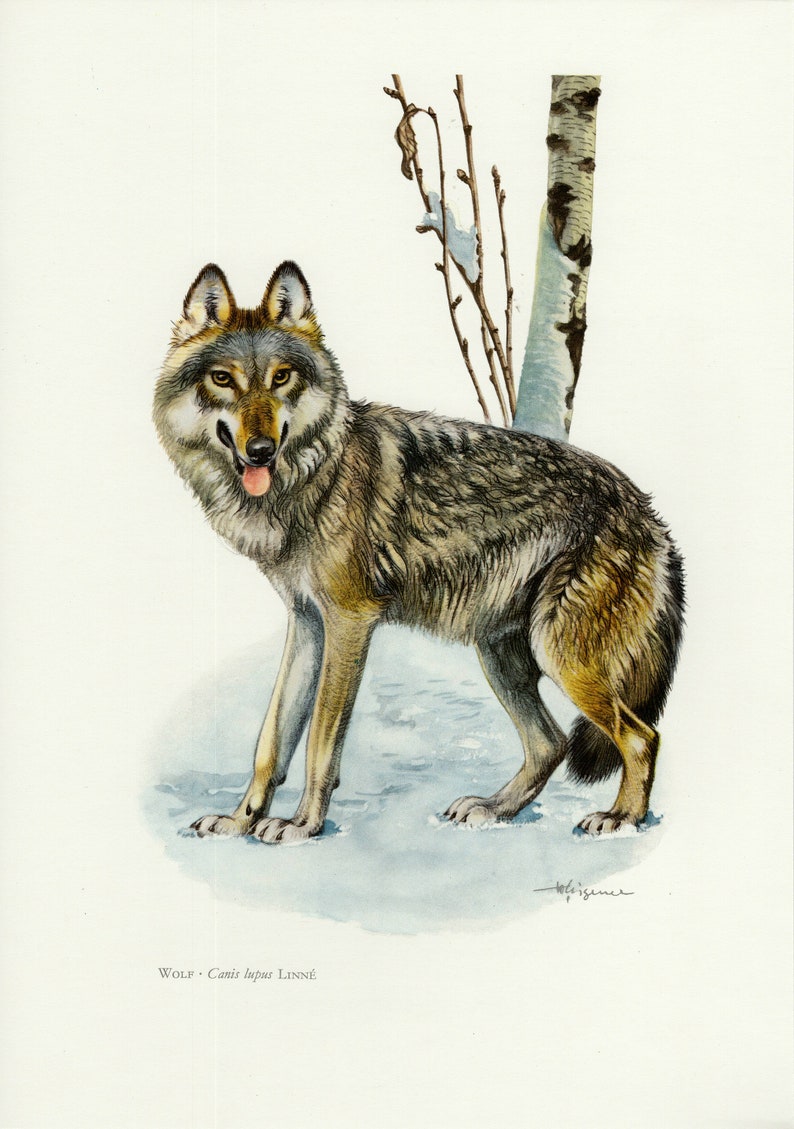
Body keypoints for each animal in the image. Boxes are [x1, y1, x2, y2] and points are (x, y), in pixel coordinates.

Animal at [153, 260, 685, 843]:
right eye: (223, 379)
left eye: (281, 378)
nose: (261, 451)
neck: (315, 475)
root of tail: (648, 513)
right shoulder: (307, 622)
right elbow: (272, 742)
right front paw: (239, 821)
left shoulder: (349, 621)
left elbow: (319, 742)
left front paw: (302, 825)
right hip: (501, 653)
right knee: (552, 744)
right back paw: (494, 809)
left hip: (559, 655)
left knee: (641, 737)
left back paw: (621, 818)